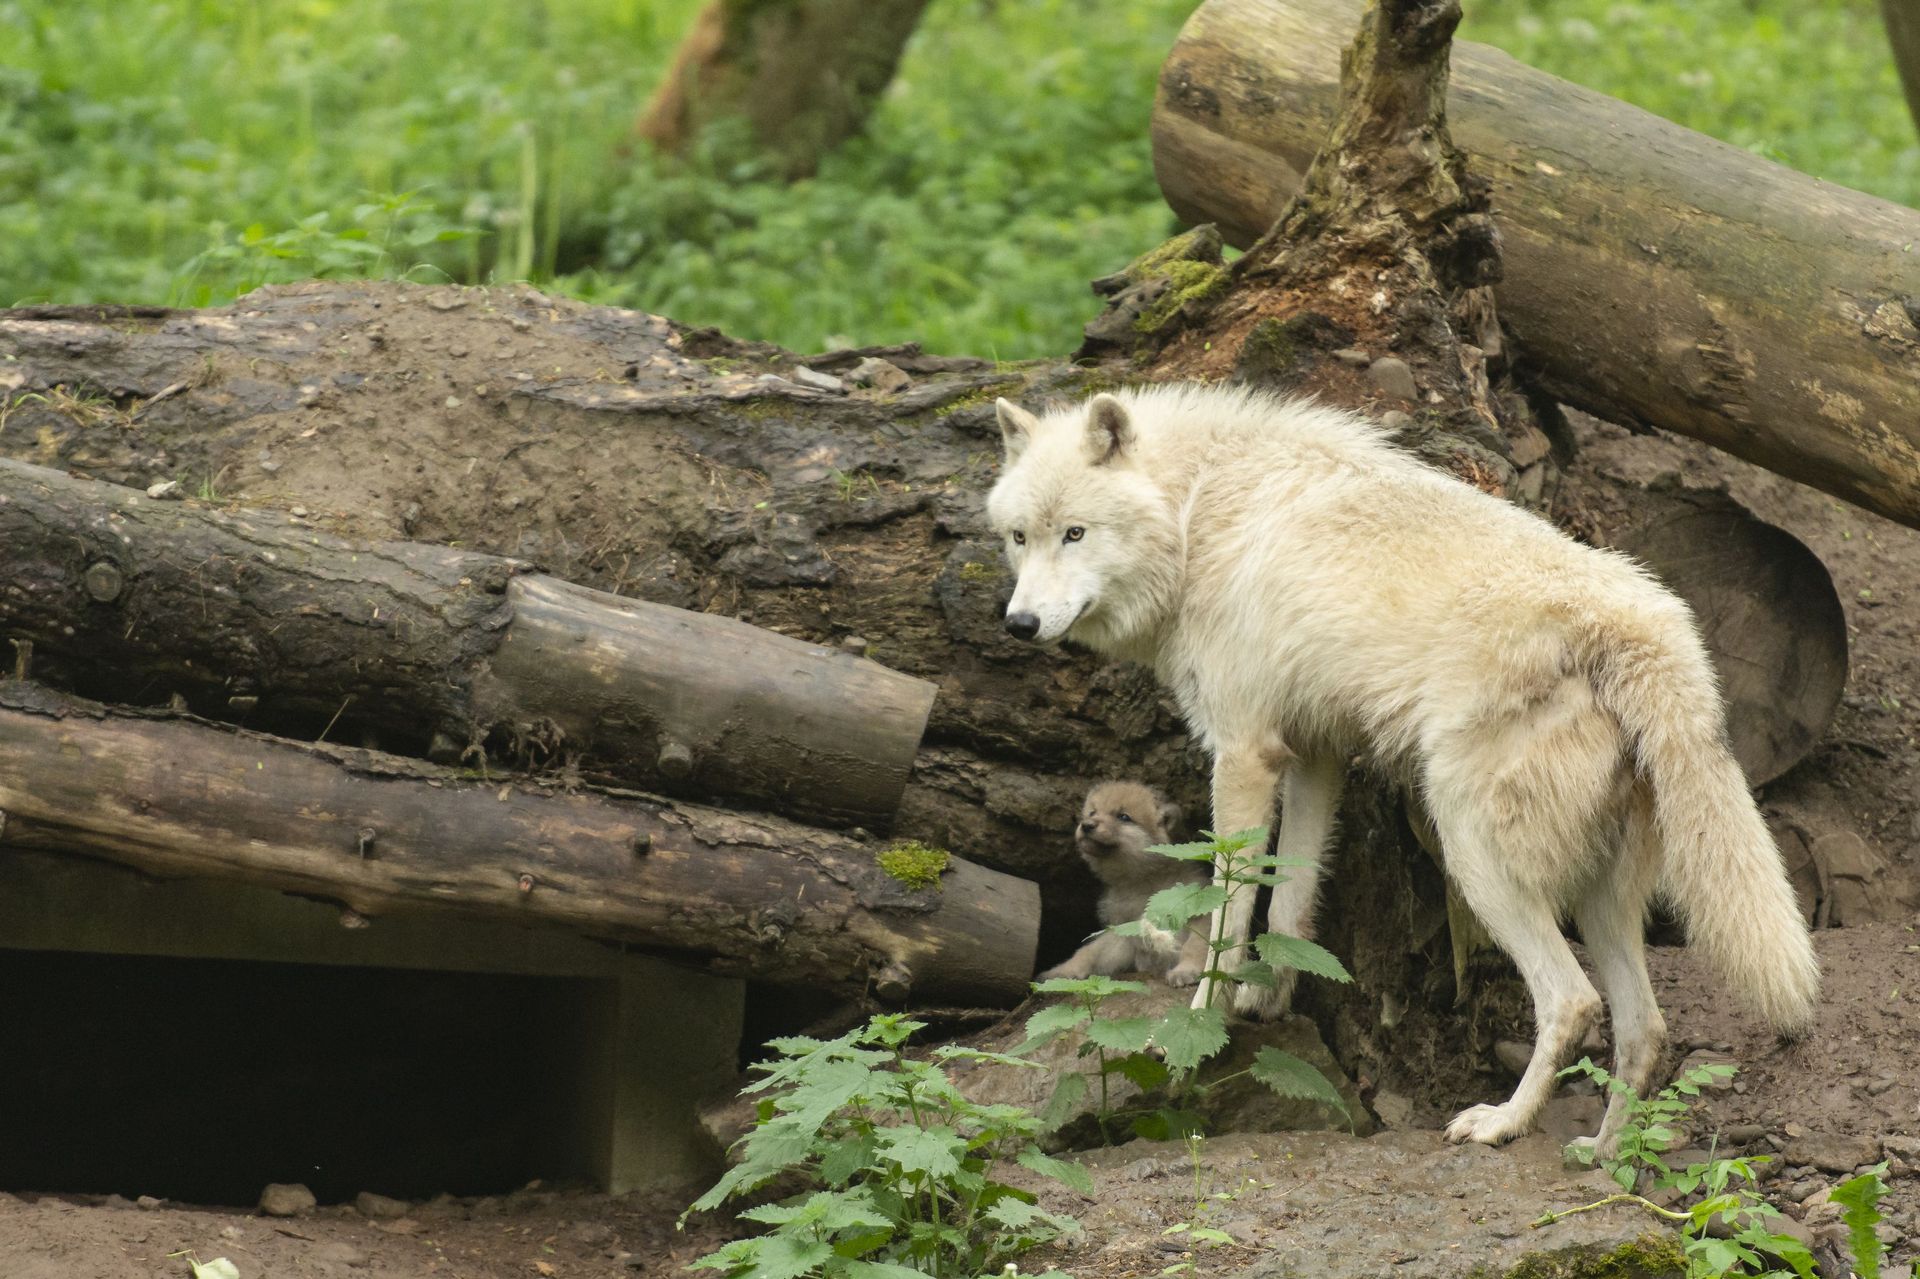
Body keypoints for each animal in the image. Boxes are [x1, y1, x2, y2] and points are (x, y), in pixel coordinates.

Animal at [983, 384, 1820, 1152]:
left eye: (1076, 533)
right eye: (1020, 537)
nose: (1019, 624)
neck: (1200, 513)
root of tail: (1649, 628)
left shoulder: (1244, 752)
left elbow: (1228, 912)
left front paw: (1203, 1020)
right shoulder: (1312, 752)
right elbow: (1288, 905)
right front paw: (1268, 998)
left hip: (1473, 849)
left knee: (1573, 1000)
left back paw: (1501, 1124)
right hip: (1597, 893)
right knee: (1645, 1027)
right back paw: (1601, 1155)